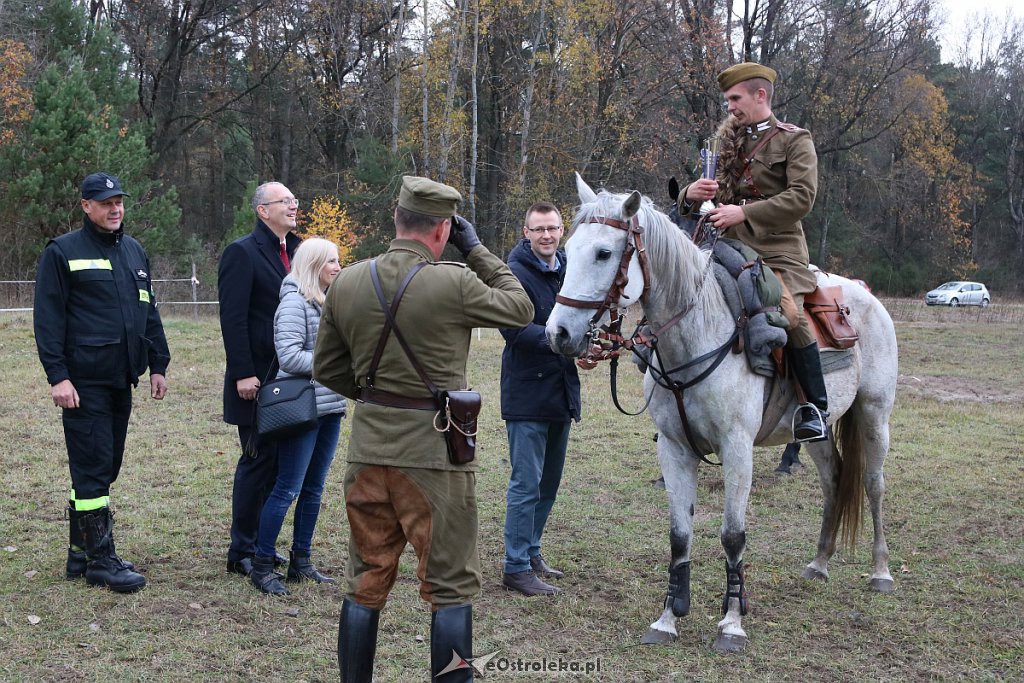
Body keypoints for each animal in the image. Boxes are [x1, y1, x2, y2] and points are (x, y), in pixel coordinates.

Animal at [544, 175, 897, 651]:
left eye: (603, 253)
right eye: (569, 247)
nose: (558, 333)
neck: (699, 332)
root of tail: (866, 297)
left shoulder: (737, 449)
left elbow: (732, 535)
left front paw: (731, 622)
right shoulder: (674, 449)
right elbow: (679, 535)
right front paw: (668, 618)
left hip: (874, 414)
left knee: (873, 485)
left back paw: (880, 571)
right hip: (817, 432)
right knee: (835, 480)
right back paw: (820, 562)